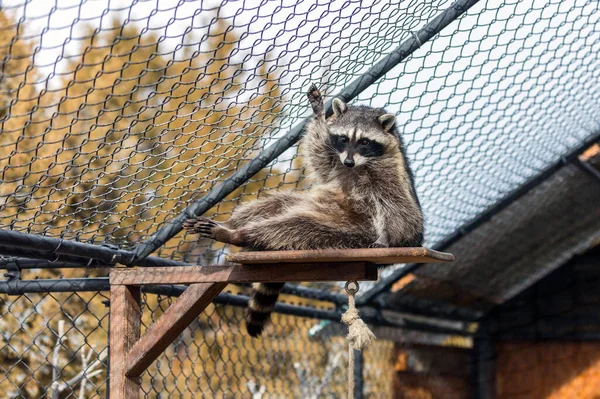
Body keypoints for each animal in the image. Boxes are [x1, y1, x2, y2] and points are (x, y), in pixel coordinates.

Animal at [185, 84, 424, 338]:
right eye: (343, 138)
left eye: (365, 142)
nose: (349, 162)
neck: (358, 165)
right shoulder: (335, 159)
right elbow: (319, 157)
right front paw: (319, 115)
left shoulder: (391, 172)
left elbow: (397, 207)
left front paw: (387, 239)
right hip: (318, 204)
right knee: (275, 204)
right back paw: (233, 224)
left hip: (350, 230)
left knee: (295, 227)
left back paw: (240, 235)